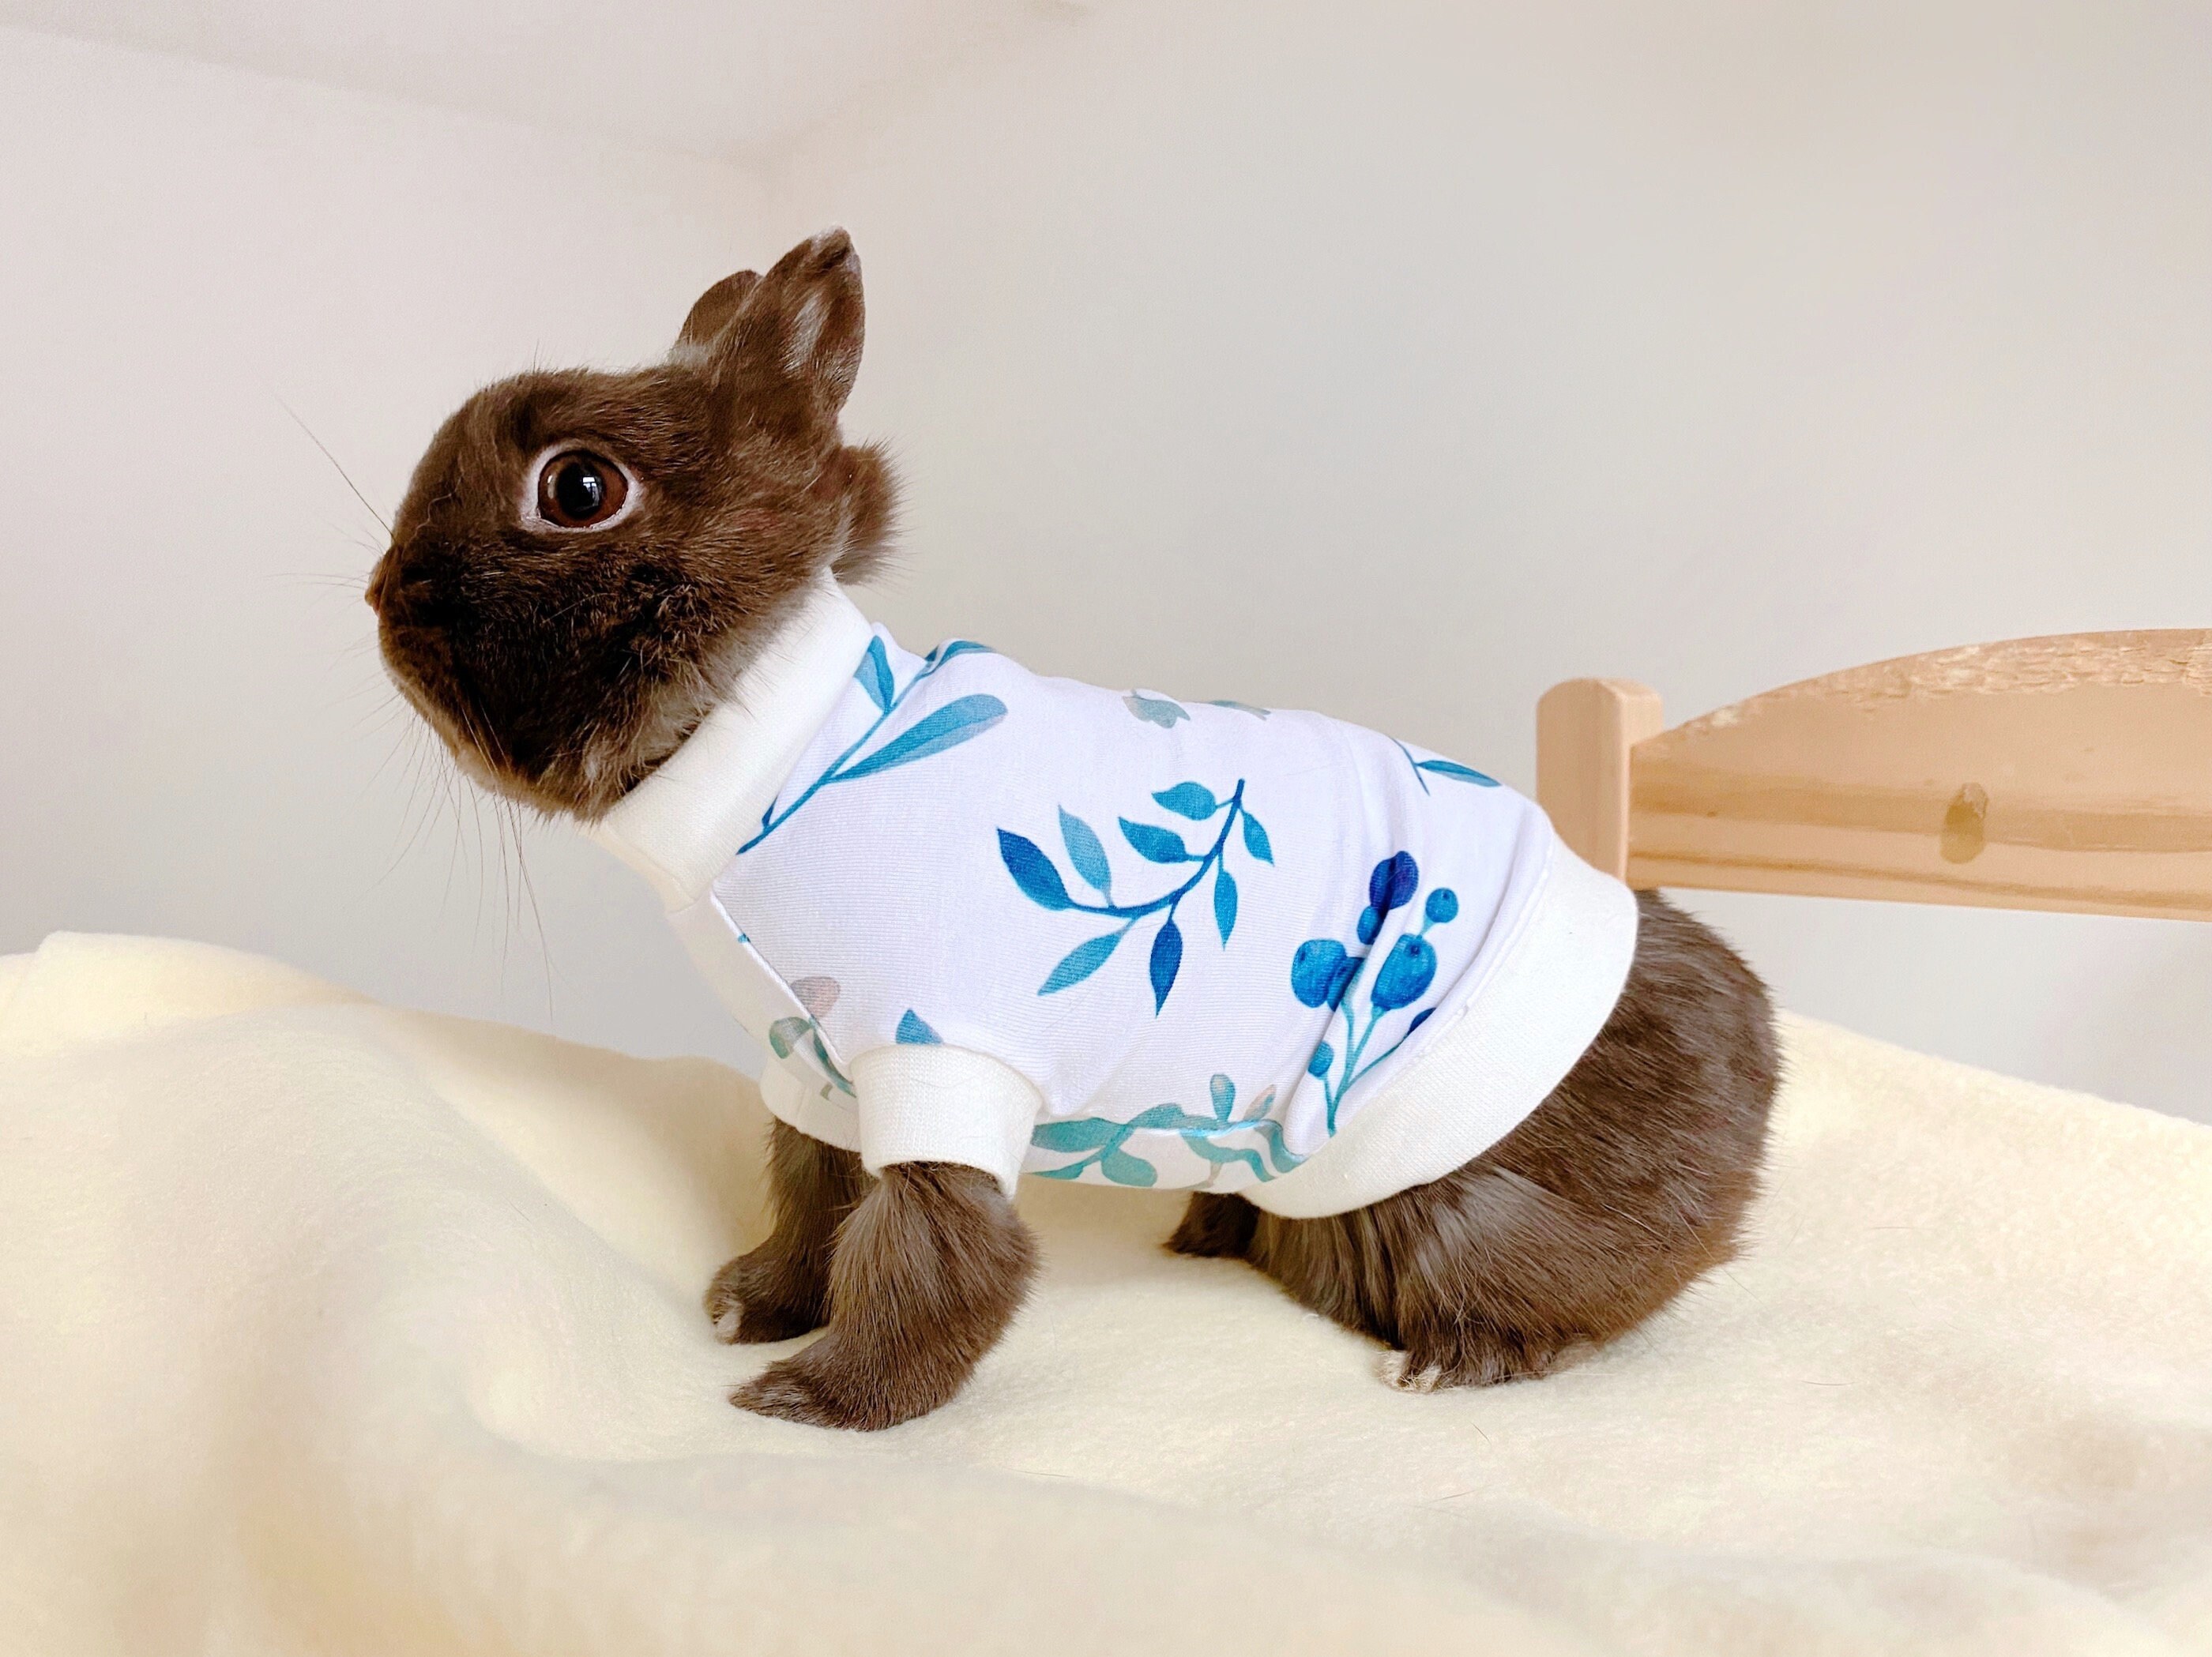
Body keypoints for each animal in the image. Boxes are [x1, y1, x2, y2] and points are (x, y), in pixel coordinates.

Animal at [368, 229, 1779, 1431]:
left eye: (580, 486)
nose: (389, 594)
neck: (773, 738)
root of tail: (1755, 1091)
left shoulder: (941, 1060)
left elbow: (932, 1249)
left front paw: (821, 1399)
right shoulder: (817, 1067)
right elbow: (812, 1199)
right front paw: (750, 1305)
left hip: (1465, 1196)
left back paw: (1455, 1356)